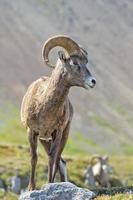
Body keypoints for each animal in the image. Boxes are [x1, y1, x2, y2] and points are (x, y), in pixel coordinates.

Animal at [20, 35, 95, 191]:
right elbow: (34, 158)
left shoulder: (57, 132)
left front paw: (49, 184)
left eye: (85, 62)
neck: (43, 105)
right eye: (74, 62)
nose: (92, 81)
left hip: (64, 135)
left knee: (59, 160)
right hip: (44, 140)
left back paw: (59, 183)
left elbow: (51, 158)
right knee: (60, 161)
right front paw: (31, 188)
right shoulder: (32, 132)